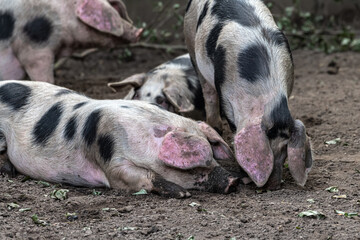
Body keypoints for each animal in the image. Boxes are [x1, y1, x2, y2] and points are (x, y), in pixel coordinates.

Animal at [0, 80, 240, 197]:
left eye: (213, 157)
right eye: (195, 168)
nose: (234, 181)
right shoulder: (111, 159)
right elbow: (139, 175)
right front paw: (182, 193)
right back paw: (8, 171)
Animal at [184, 0, 310, 189]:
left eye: (284, 153)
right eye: (268, 151)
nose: (273, 186)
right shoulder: (226, 96)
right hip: (191, 41)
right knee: (208, 92)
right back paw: (216, 127)